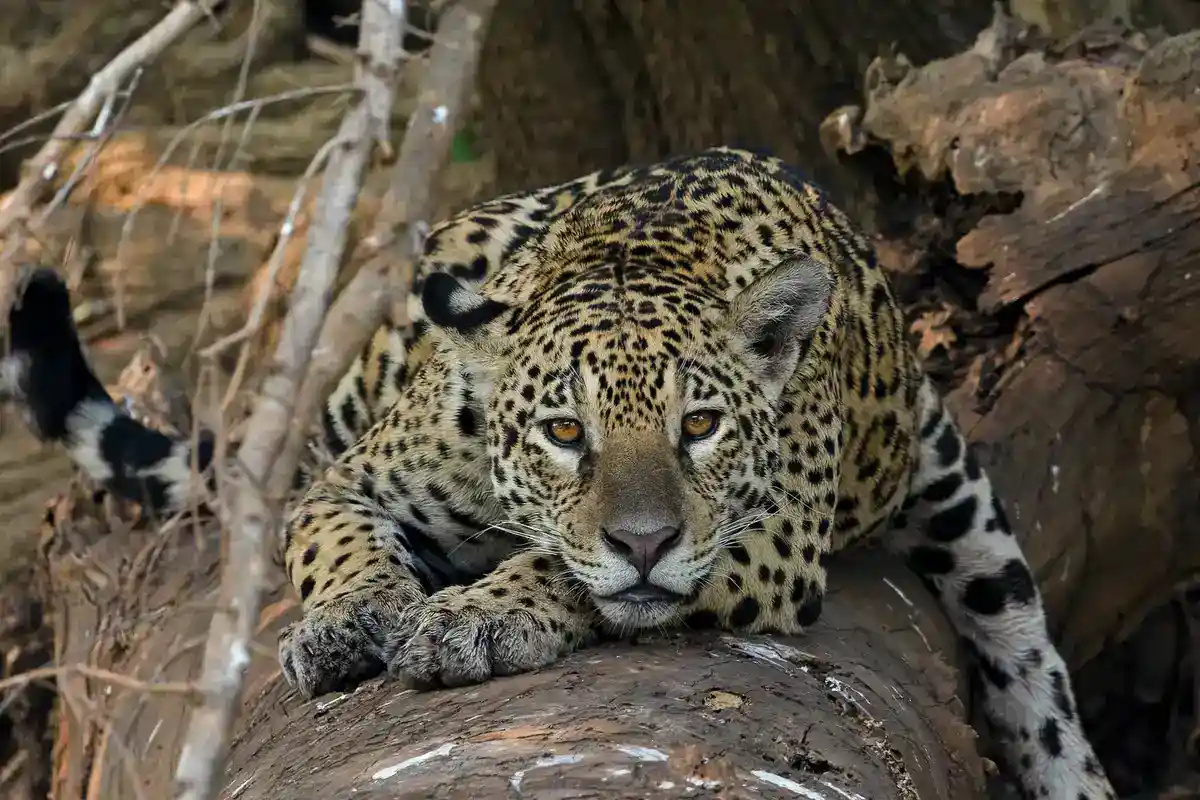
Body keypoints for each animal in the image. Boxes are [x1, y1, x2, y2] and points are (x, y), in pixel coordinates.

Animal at [2, 147, 1113, 799]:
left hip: (969, 532)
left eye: (699, 424)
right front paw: (347, 620)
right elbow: (341, 541)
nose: (644, 540)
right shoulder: (351, 485)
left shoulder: (777, 536)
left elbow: (568, 570)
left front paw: (474, 616)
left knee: (1033, 674)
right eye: (565, 430)